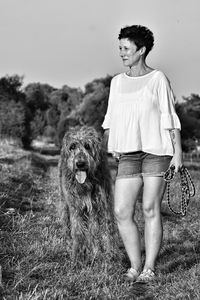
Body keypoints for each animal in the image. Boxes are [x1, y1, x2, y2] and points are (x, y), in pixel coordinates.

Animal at [57, 125, 115, 264]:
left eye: (87, 146)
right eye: (72, 146)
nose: (80, 164)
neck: (86, 183)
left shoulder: (100, 206)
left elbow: (101, 230)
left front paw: (104, 255)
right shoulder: (76, 207)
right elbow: (78, 232)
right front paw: (77, 257)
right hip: (64, 204)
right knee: (67, 224)